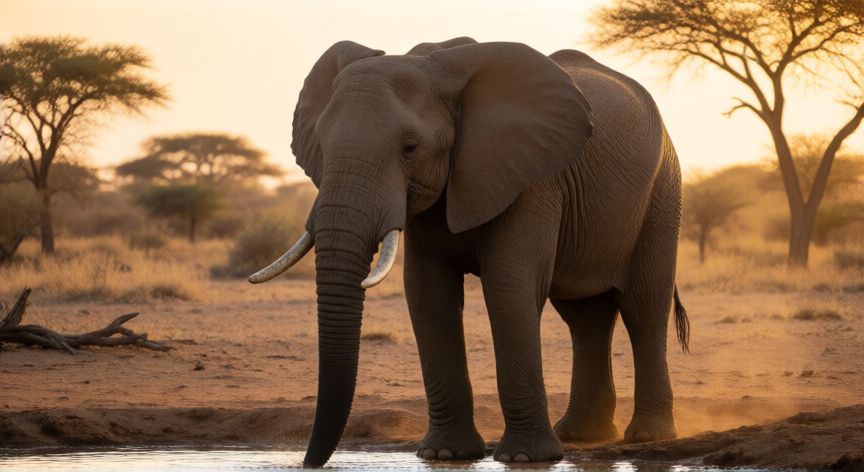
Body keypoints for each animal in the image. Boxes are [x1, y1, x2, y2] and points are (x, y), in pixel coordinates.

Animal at [250, 37, 690, 467]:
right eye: (322, 145)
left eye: (410, 147)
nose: (307, 462)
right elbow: (427, 294)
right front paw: (445, 454)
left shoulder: (531, 179)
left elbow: (508, 287)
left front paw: (523, 457)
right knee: (585, 319)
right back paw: (581, 435)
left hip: (663, 191)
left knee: (643, 308)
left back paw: (648, 436)